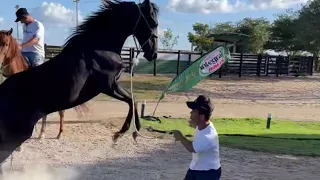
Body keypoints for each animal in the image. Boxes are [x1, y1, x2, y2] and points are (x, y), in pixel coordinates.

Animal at [0, 0, 159, 169]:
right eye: (152, 22)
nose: (153, 54)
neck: (97, 48)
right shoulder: (108, 86)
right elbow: (131, 100)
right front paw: (122, 133)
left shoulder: (112, 85)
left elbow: (132, 100)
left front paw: (131, 133)